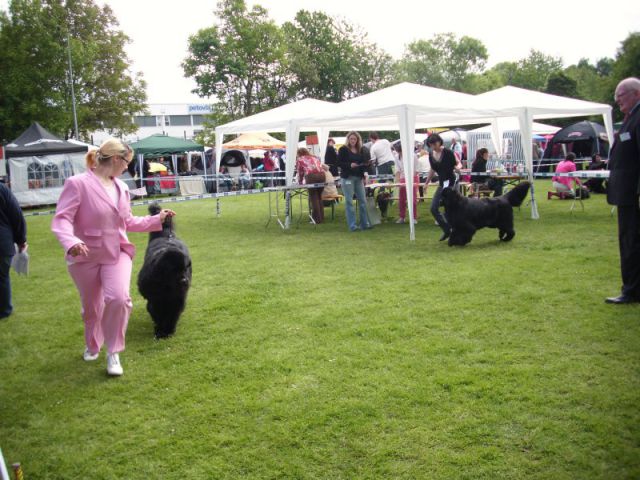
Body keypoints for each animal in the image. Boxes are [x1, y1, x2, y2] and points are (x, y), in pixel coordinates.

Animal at [138, 202, 192, 338]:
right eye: (173, 270)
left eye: (185, 269)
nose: (184, 281)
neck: (166, 286)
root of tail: (167, 234)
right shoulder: (155, 299)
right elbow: (158, 315)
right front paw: (160, 331)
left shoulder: (177, 298)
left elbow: (172, 315)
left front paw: (169, 330)